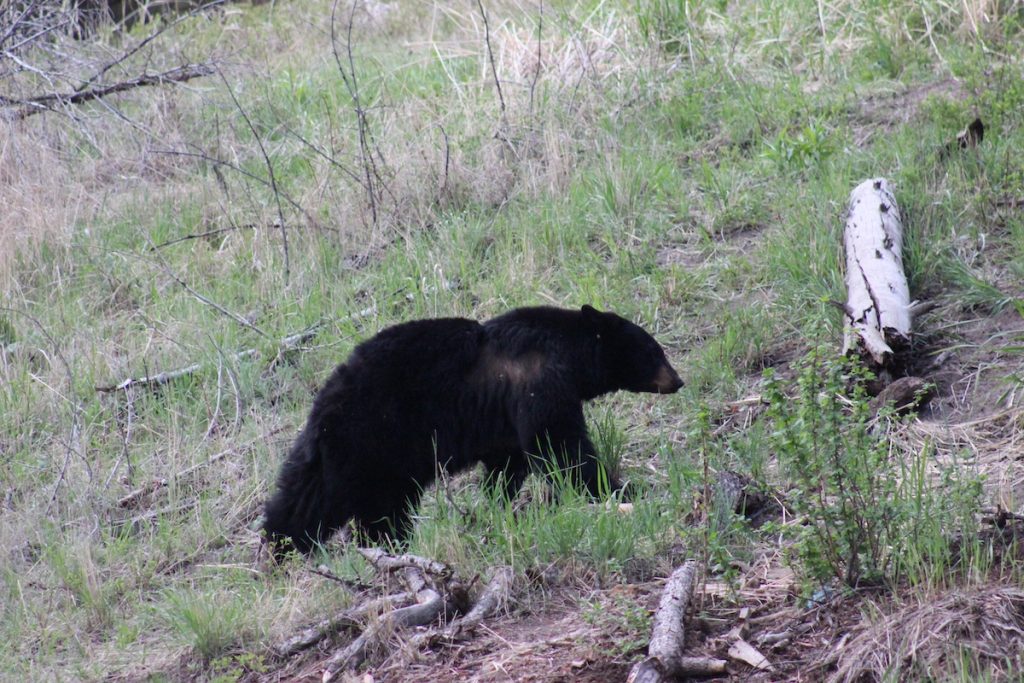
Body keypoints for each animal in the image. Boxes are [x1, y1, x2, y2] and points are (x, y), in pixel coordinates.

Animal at [263, 305, 682, 556]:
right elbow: (561, 447)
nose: (678, 380)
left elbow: (507, 464)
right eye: (655, 351)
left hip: (359, 458)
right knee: (338, 502)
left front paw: (499, 504)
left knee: (308, 495)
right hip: (368, 443)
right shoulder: (540, 385)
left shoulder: (504, 424)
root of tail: (322, 407)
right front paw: (620, 488)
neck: (568, 351)